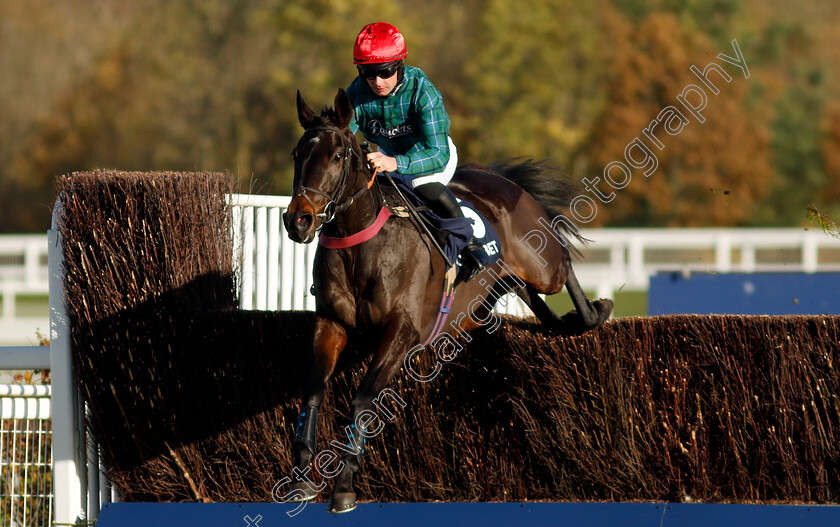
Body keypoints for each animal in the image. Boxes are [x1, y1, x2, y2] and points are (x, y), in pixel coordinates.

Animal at [278, 88, 612, 512]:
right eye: (296, 153)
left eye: (337, 156)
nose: (298, 221)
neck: (361, 244)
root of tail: (503, 179)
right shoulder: (330, 322)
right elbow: (312, 394)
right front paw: (301, 481)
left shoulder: (403, 329)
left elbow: (363, 400)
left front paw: (345, 486)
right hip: (492, 291)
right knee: (531, 298)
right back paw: (564, 320)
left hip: (542, 263)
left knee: (564, 261)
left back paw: (594, 311)